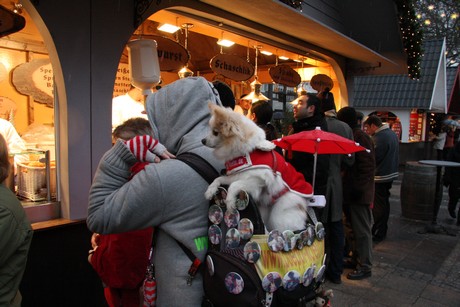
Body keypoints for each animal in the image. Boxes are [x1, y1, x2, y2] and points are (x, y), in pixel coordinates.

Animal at [203, 102, 314, 232]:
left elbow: (235, 185)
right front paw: (210, 190)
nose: (203, 140)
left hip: (281, 213)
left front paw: (230, 201)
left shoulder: (258, 180)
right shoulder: (239, 174)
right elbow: (219, 179)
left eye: (215, 132)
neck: (246, 152)